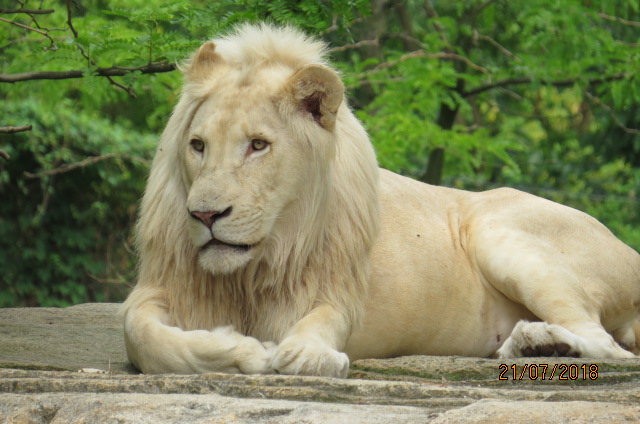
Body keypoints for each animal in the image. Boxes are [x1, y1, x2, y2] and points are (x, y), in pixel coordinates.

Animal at [122, 24, 640, 377]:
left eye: (258, 145)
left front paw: (305, 354)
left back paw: (543, 343)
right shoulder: (162, 285)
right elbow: (142, 332)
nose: (205, 214)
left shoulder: (337, 289)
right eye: (198, 145)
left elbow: (319, 324)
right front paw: (245, 349)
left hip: (503, 236)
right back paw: (527, 344)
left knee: (611, 348)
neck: (256, 265)